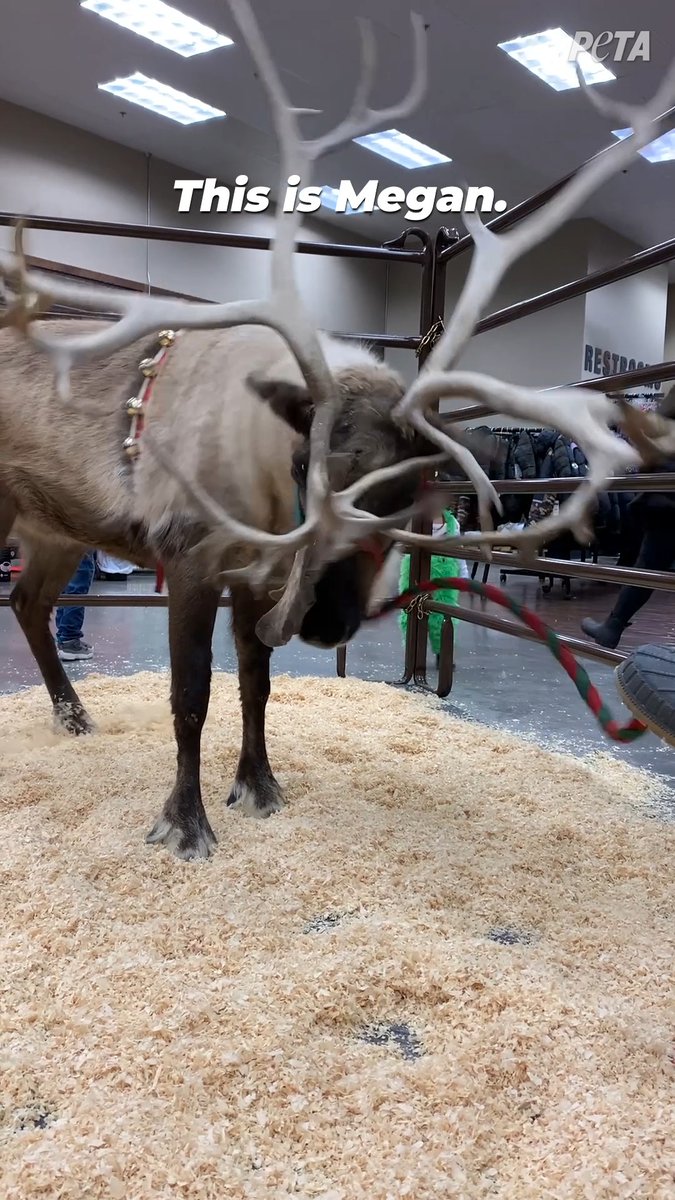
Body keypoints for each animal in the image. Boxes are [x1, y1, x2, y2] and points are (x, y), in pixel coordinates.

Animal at [0, 0, 673, 861]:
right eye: (305, 464)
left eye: (413, 486)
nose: (323, 622)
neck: (259, 494)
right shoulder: (190, 557)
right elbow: (193, 695)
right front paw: (185, 823)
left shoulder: (252, 579)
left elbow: (256, 686)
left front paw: (259, 786)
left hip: (54, 527)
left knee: (28, 604)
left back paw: (73, 713)